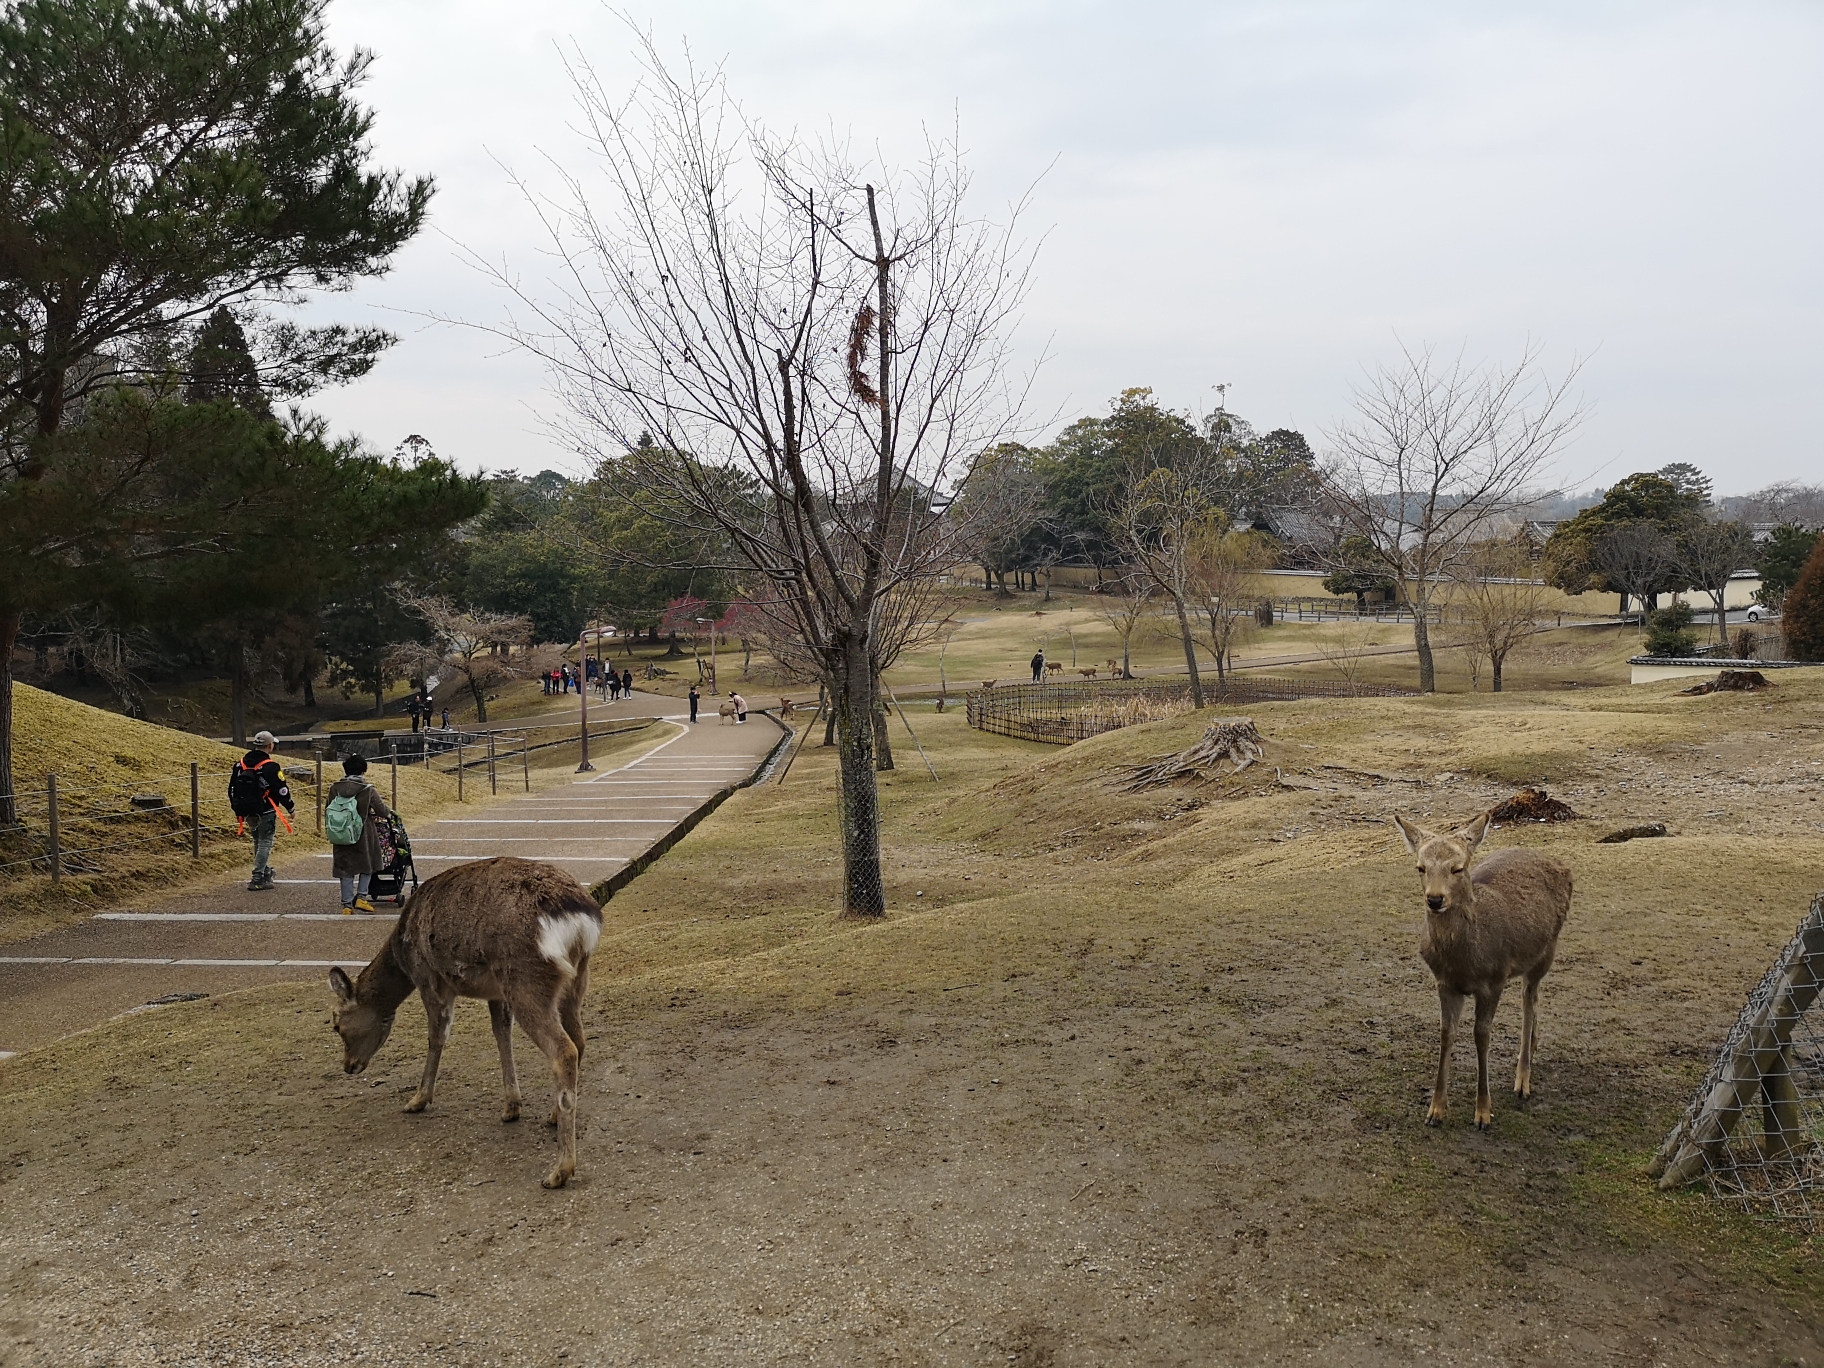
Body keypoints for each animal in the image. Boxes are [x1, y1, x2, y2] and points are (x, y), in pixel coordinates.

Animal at [331, 857, 601, 1189]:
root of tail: (579, 920)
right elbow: (501, 1033)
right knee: (579, 1040)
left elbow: (437, 1036)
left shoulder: (428, 976)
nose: (348, 1066)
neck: (400, 952)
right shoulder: (496, 993)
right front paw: (511, 1106)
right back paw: (551, 1117)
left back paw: (559, 1170)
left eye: (336, 1025)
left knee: (564, 1050)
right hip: (573, 979)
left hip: (526, 977)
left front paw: (417, 1099)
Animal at [1393, 813, 1568, 1138]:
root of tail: (1560, 864)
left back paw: (1522, 1080)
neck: (1465, 960)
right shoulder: (1445, 983)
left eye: (1457, 867)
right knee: (1533, 998)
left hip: (1547, 949)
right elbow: (1446, 1033)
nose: (1434, 899)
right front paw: (1435, 1111)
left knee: (1529, 999)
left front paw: (1483, 1114)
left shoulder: (1494, 981)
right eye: (1420, 867)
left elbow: (1481, 1036)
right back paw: (1534, 1047)